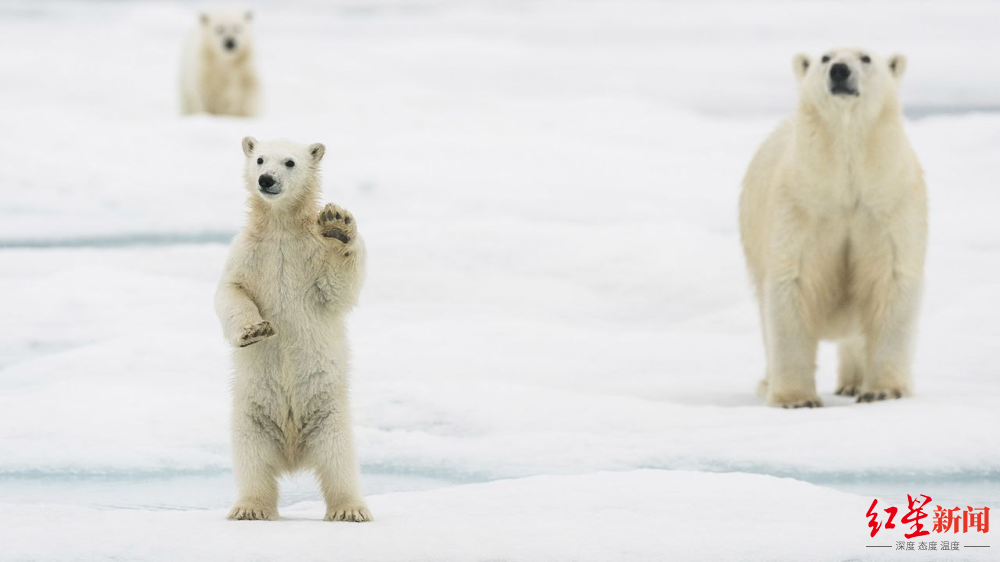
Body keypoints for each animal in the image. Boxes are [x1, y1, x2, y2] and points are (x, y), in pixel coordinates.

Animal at [216, 137, 372, 520]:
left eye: (290, 162)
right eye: (259, 159)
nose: (266, 179)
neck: (281, 229)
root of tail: (292, 454)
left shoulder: (310, 255)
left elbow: (337, 288)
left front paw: (338, 224)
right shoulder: (247, 252)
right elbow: (231, 291)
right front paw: (254, 331)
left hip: (330, 415)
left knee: (339, 460)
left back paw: (350, 510)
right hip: (250, 417)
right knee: (252, 461)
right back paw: (250, 508)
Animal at [740, 48, 924, 406]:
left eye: (865, 57)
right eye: (825, 57)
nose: (839, 71)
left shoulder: (888, 202)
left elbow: (890, 280)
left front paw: (883, 391)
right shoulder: (801, 205)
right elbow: (792, 283)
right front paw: (796, 399)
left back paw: (853, 383)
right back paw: (768, 383)